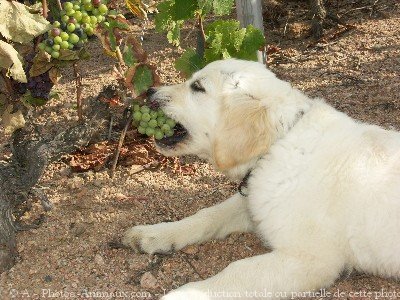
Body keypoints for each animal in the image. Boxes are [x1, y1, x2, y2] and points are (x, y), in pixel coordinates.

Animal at [122, 59, 400, 300]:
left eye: (197, 87)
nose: (149, 91)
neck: (278, 144)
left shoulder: (310, 259)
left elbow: (236, 272)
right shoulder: (255, 202)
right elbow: (208, 215)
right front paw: (156, 234)